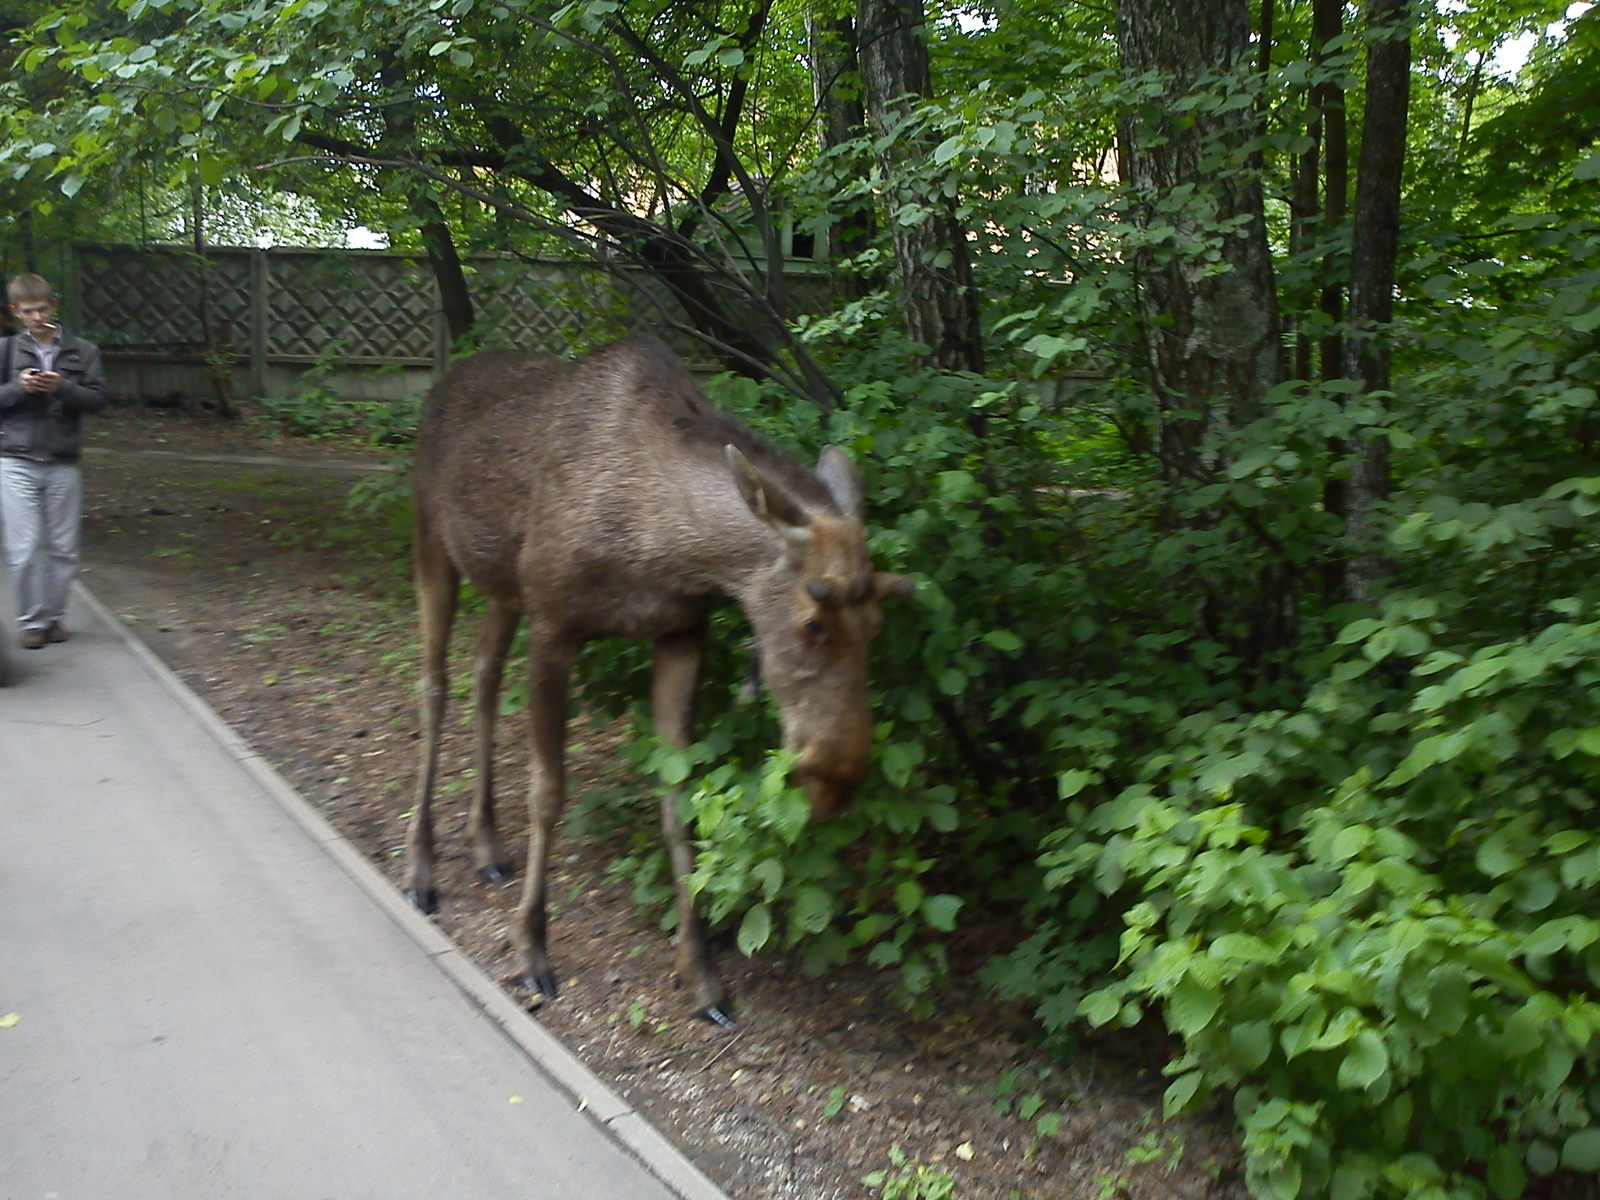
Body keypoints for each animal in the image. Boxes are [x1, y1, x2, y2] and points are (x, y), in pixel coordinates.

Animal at [406, 334, 908, 1030]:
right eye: (811, 620)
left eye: (880, 620)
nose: (835, 778)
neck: (665, 545)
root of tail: (440, 382)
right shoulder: (554, 624)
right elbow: (547, 793)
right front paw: (531, 947)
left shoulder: (679, 634)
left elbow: (680, 803)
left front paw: (701, 974)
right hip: (432, 540)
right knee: (433, 684)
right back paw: (420, 868)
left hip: (503, 586)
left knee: (482, 677)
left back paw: (486, 846)